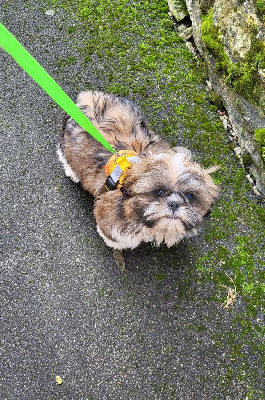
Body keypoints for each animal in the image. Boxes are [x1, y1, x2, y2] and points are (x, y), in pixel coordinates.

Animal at [57, 91, 219, 268]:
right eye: (159, 191)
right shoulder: (109, 210)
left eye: (190, 196)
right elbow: (111, 232)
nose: (174, 203)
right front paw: (114, 242)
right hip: (70, 145)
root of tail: (87, 98)